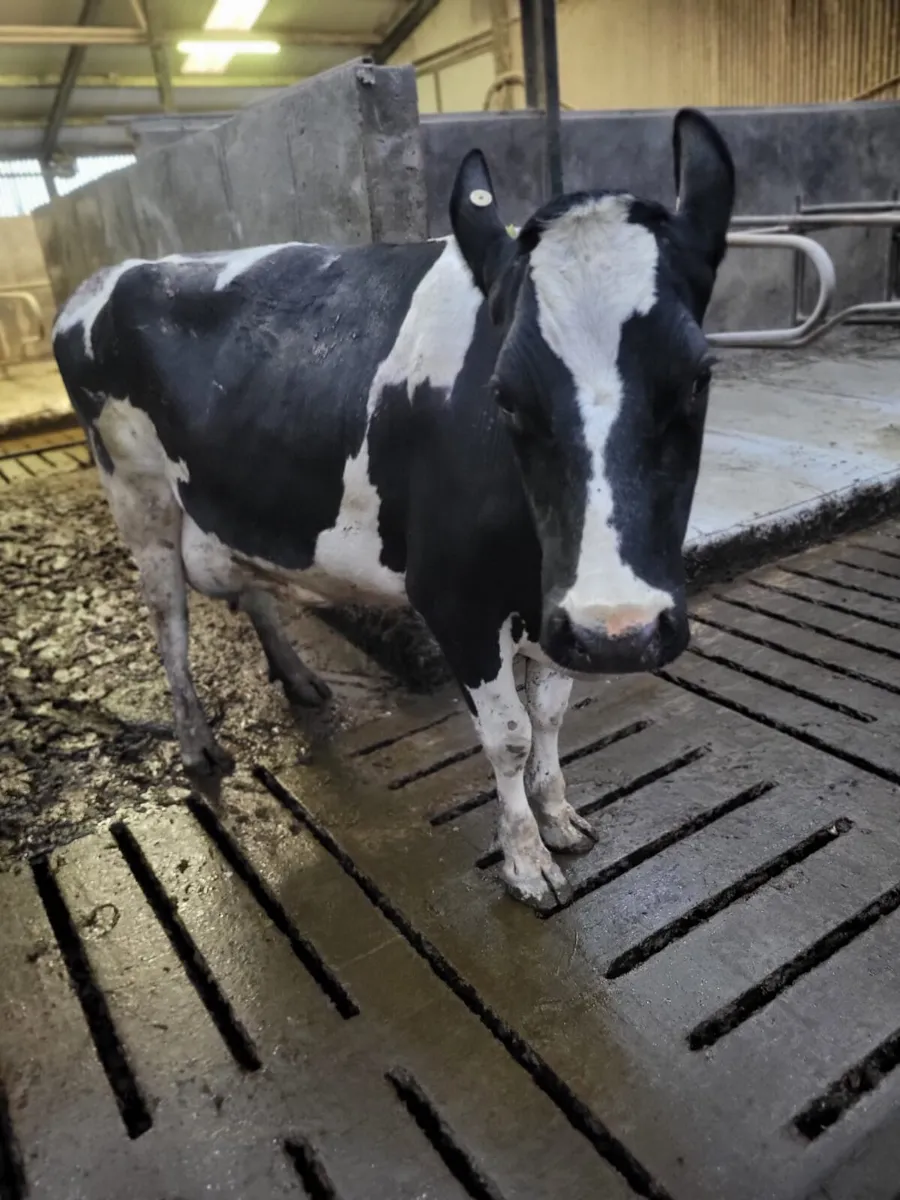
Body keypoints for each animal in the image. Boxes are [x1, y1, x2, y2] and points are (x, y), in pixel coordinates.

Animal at [52, 107, 734, 910]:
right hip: (139, 497)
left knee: (251, 585)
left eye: (697, 376)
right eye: (504, 394)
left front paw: (559, 815)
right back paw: (195, 742)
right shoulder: (455, 597)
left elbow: (550, 712)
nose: (623, 632)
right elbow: (508, 734)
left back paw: (300, 681)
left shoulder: (557, 606)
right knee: (170, 624)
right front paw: (525, 859)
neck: (528, 559)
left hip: (226, 501)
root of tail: (110, 276)